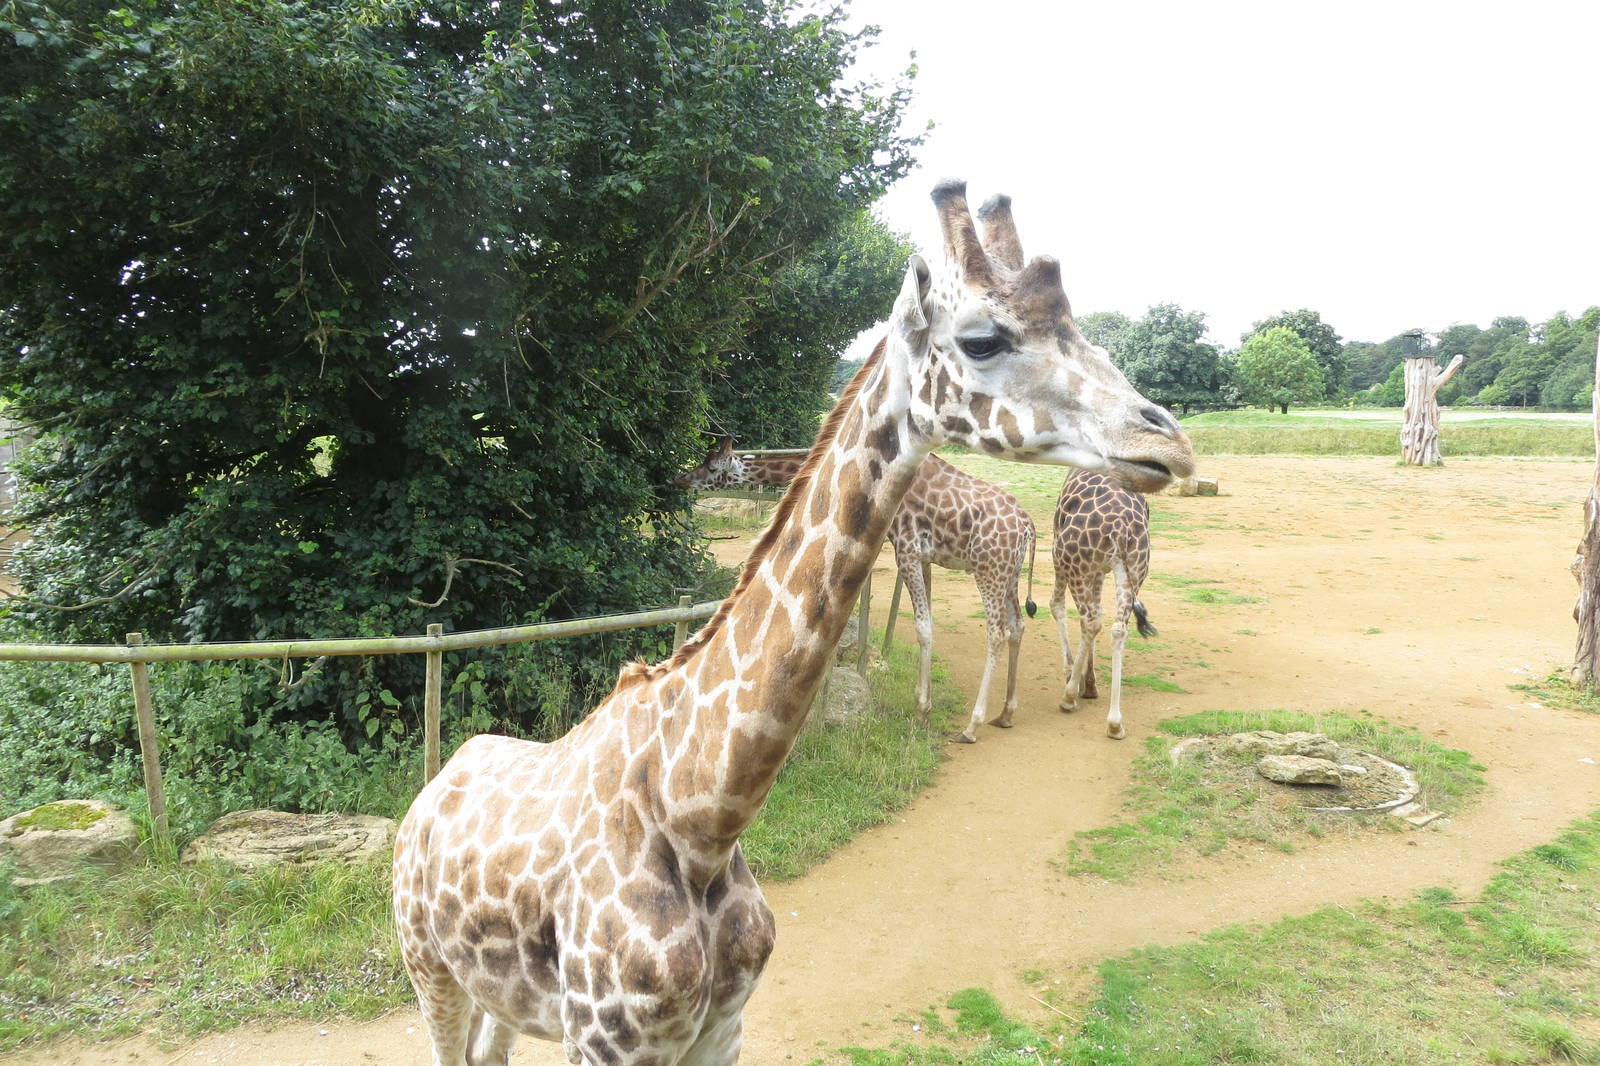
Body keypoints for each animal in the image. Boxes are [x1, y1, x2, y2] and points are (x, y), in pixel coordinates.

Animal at [680, 443, 1039, 743]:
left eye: (712, 467)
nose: (682, 478)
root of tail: (1028, 527)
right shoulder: (924, 556)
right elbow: (928, 626)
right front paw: (924, 711)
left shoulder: (906, 548)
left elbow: (923, 627)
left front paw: (921, 710)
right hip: (1010, 574)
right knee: (1018, 627)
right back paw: (1005, 713)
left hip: (989, 570)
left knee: (996, 633)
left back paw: (972, 726)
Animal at [1050, 468, 1158, 740]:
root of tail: (1120, 527)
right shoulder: (1099, 570)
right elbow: (1097, 611)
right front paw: (1089, 684)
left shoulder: (1058, 554)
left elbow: (1056, 605)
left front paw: (1072, 675)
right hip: (1133, 568)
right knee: (1117, 628)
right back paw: (1115, 723)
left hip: (1072, 562)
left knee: (1091, 621)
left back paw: (1068, 698)